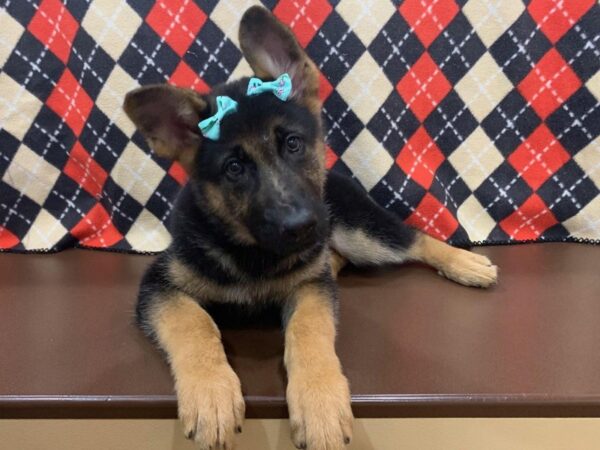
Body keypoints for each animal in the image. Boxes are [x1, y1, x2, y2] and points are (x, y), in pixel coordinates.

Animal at [123, 5, 496, 448]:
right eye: (234, 168)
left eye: (293, 144)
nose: (301, 228)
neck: (255, 254)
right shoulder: (159, 285)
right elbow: (193, 323)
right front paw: (210, 392)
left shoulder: (311, 288)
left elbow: (309, 330)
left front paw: (319, 402)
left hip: (359, 232)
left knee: (414, 239)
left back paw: (465, 264)